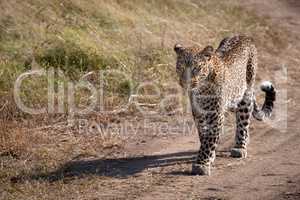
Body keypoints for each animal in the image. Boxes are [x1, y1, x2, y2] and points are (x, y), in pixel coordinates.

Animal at [173, 35, 276, 175]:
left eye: (196, 69)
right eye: (181, 67)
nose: (186, 82)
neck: (201, 90)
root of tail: (244, 36)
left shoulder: (216, 115)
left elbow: (210, 138)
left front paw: (201, 164)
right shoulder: (199, 113)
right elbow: (203, 135)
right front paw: (209, 157)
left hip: (245, 95)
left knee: (243, 121)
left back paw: (240, 147)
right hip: (233, 99)